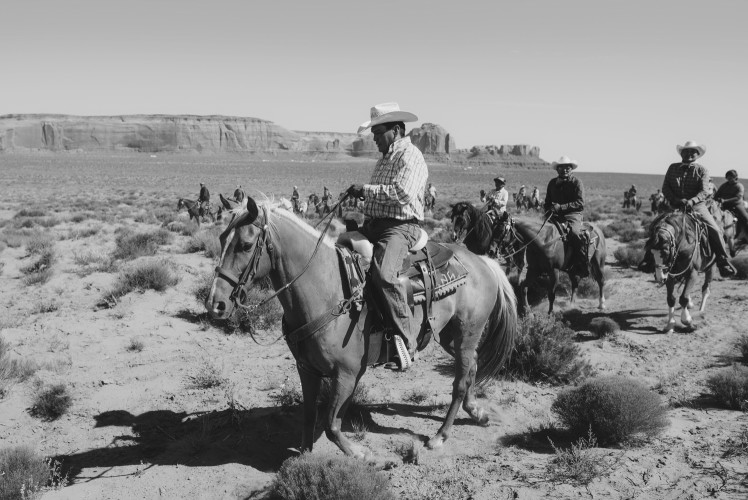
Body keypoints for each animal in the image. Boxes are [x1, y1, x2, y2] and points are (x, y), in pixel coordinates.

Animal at [206, 195, 520, 458]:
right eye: (221, 238)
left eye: (246, 245)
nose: (215, 304)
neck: (327, 288)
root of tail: (482, 261)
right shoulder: (306, 369)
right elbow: (309, 416)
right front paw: (305, 456)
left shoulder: (348, 374)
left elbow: (331, 424)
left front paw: (359, 453)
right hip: (449, 336)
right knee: (472, 367)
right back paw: (477, 412)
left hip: (467, 333)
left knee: (459, 382)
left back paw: (440, 436)